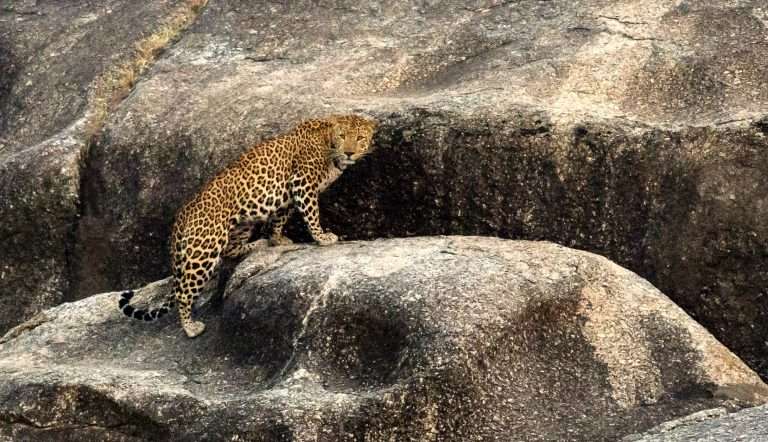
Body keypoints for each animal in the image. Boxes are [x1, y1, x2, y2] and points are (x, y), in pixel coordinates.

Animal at [118, 114, 377, 338]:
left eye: (360, 138)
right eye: (343, 136)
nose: (350, 152)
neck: (329, 145)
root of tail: (181, 217)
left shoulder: (288, 194)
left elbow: (279, 218)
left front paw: (276, 239)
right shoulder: (302, 183)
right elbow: (311, 213)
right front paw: (322, 237)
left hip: (242, 225)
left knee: (231, 250)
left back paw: (259, 244)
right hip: (205, 248)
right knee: (184, 292)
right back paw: (191, 327)